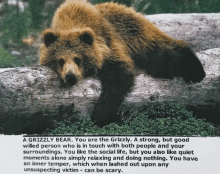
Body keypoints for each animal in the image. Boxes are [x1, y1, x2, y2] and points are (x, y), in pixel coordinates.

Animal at [40, 0, 206, 126]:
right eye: (60, 60)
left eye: (78, 59)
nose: (70, 76)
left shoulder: (108, 42)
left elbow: (118, 75)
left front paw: (100, 114)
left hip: (135, 34)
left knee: (162, 51)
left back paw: (196, 70)